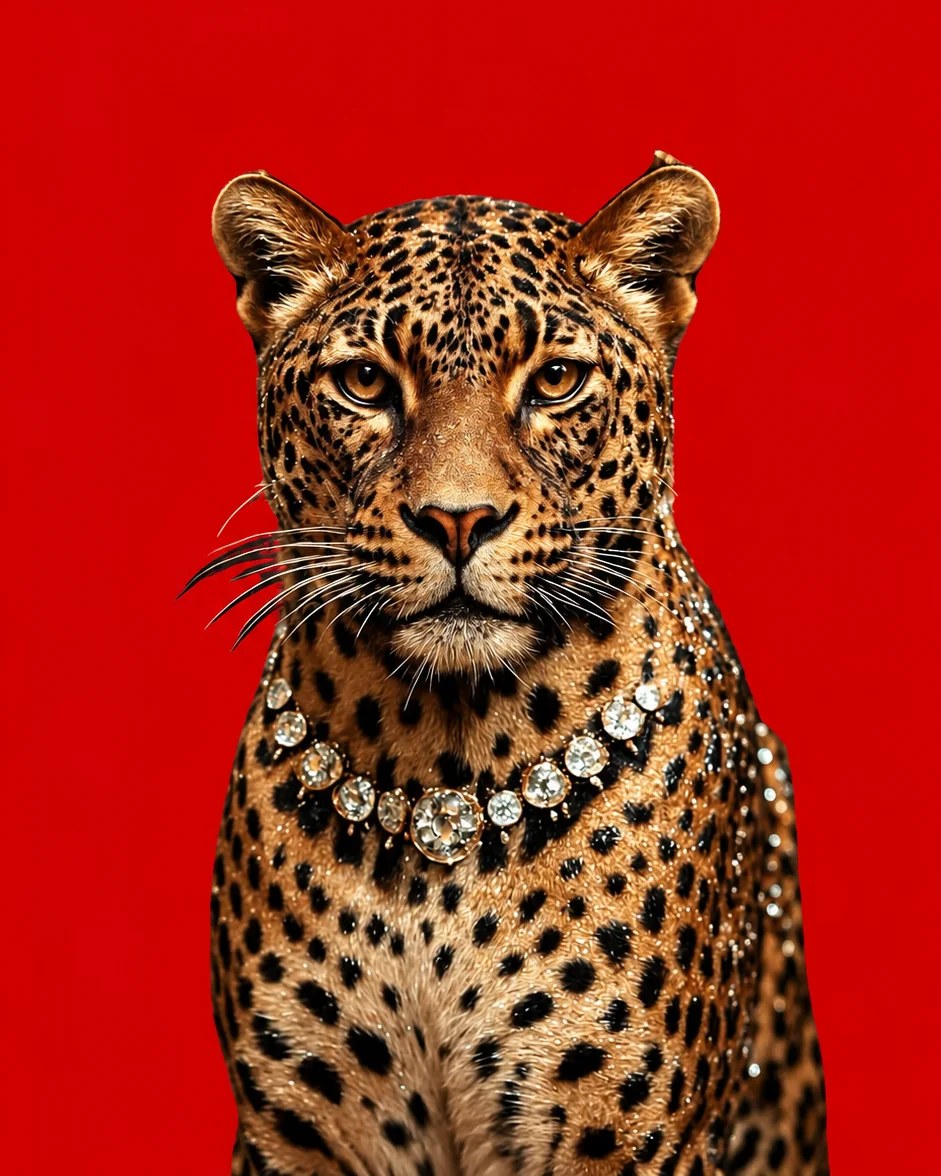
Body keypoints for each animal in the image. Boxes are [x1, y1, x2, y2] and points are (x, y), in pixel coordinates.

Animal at [197, 150, 828, 1175]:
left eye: (557, 380)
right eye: (365, 383)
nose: (458, 519)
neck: (439, 767)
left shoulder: (631, 1134)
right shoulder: (297, 1131)